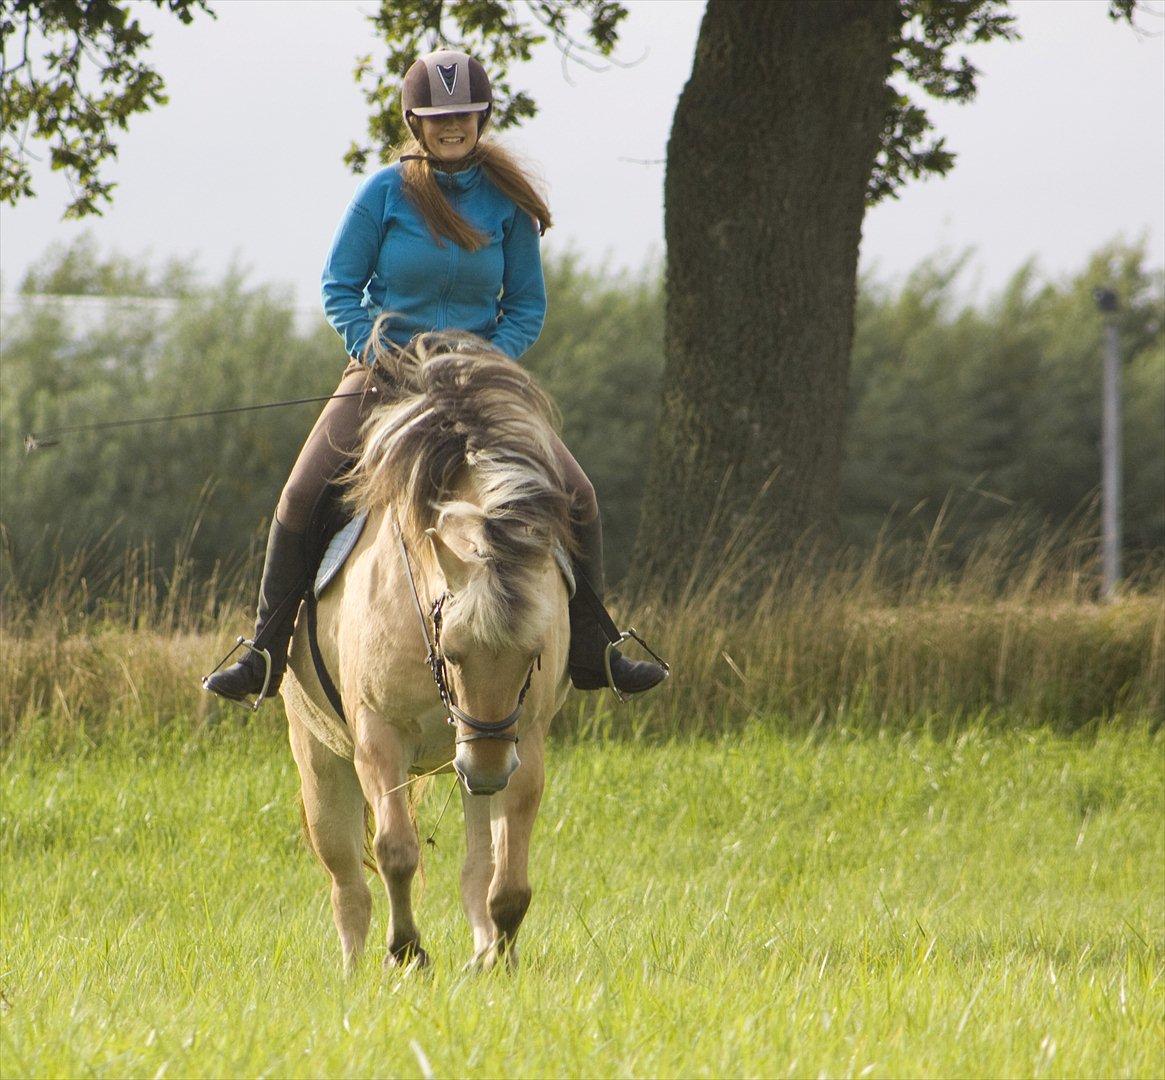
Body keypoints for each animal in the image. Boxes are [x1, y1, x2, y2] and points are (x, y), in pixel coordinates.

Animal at [278, 328, 577, 969]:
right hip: (321, 759)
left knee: (477, 865)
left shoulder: (525, 739)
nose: (485, 771)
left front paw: (499, 960)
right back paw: (353, 969)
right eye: (453, 651)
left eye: (533, 654)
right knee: (346, 880)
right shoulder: (378, 735)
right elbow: (396, 850)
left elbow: (507, 879)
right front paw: (407, 951)